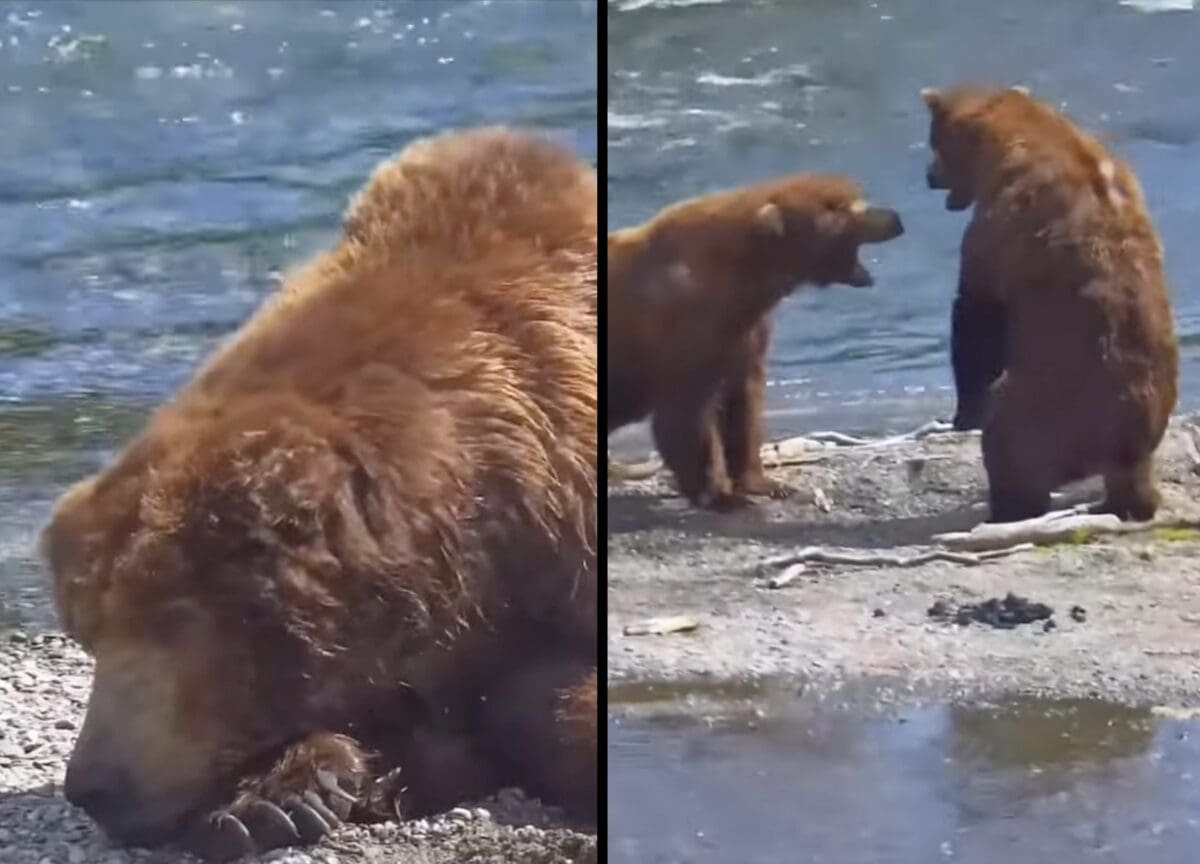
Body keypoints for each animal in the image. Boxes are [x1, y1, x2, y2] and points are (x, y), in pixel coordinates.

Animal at [607, 174, 904, 510]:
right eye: (840, 207)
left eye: (857, 197)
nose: (895, 218)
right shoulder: (686, 327)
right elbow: (686, 414)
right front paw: (720, 494)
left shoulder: (746, 333)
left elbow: (744, 403)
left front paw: (767, 483)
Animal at [922, 84, 1179, 522]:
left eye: (934, 142)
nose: (928, 175)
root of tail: (1124, 441)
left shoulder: (1002, 226)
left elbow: (976, 312)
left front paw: (962, 413)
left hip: (1047, 406)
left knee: (1008, 444)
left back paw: (1006, 506)